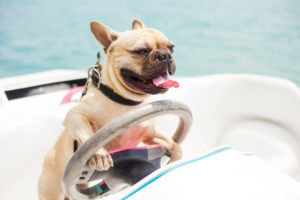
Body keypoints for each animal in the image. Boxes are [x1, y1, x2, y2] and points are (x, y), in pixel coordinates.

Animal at [38, 18, 182, 200]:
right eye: (141, 51)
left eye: (172, 48)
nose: (165, 55)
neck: (126, 101)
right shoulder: (75, 115)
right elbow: (87, 133)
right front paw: (98, 153)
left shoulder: (149, 134)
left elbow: (170, 142)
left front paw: (176, 154)